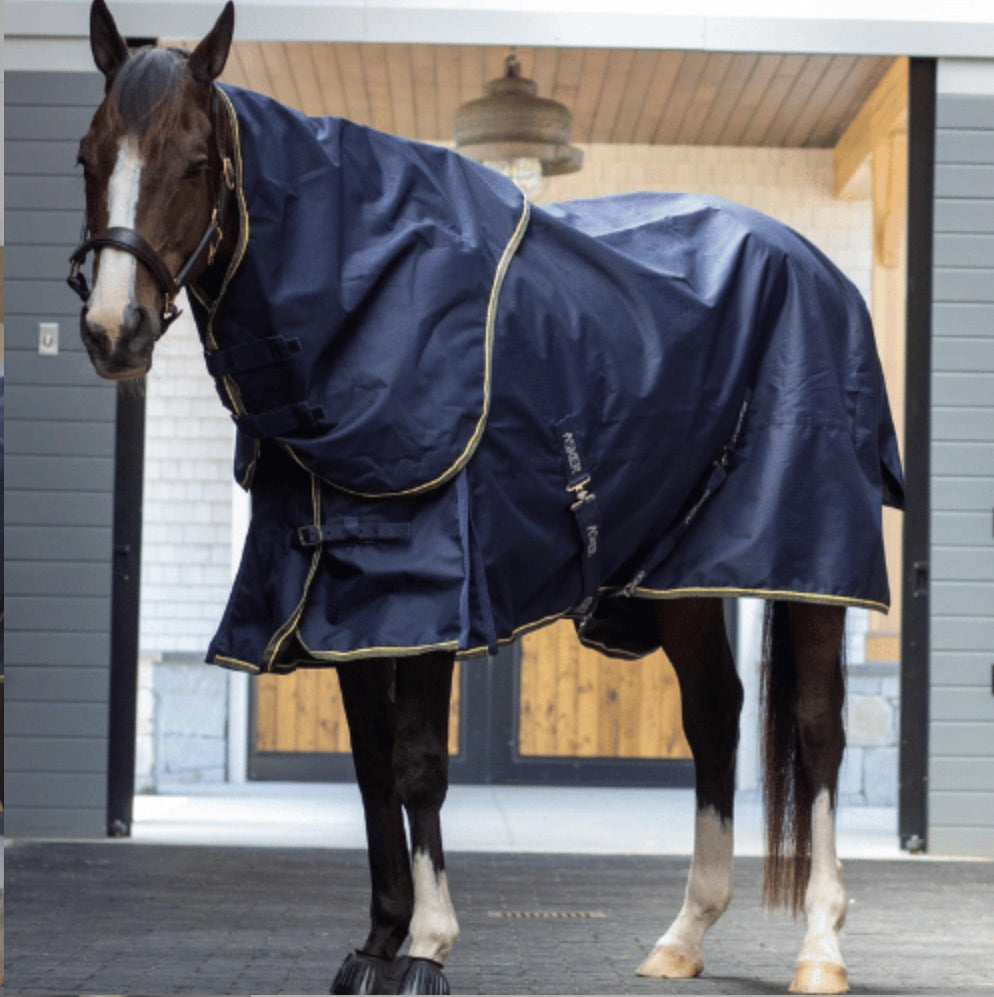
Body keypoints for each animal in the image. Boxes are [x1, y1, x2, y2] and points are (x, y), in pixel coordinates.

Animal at [70, 2, 905, 993]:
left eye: (197, 162)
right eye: (88, 157)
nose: (111, 331)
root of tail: (823, 273)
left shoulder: (428, 593)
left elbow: (420, 764)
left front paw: (428, 944)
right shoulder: (340, 600)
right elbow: (370, 766)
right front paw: (377, 939)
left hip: (806, 564)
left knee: (817, 732)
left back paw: (821, 945)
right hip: (684, 578)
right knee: (713, 713)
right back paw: (683, 935)